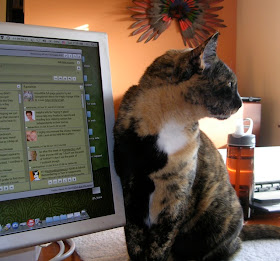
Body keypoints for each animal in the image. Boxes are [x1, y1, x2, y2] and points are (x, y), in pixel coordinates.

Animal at [113, 33, 280, 260]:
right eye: (230, 83)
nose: (240, 104)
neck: (169, 120)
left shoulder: (177, 192)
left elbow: (161, 240)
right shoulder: (130, 185)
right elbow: (133, 237)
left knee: (230, 246)